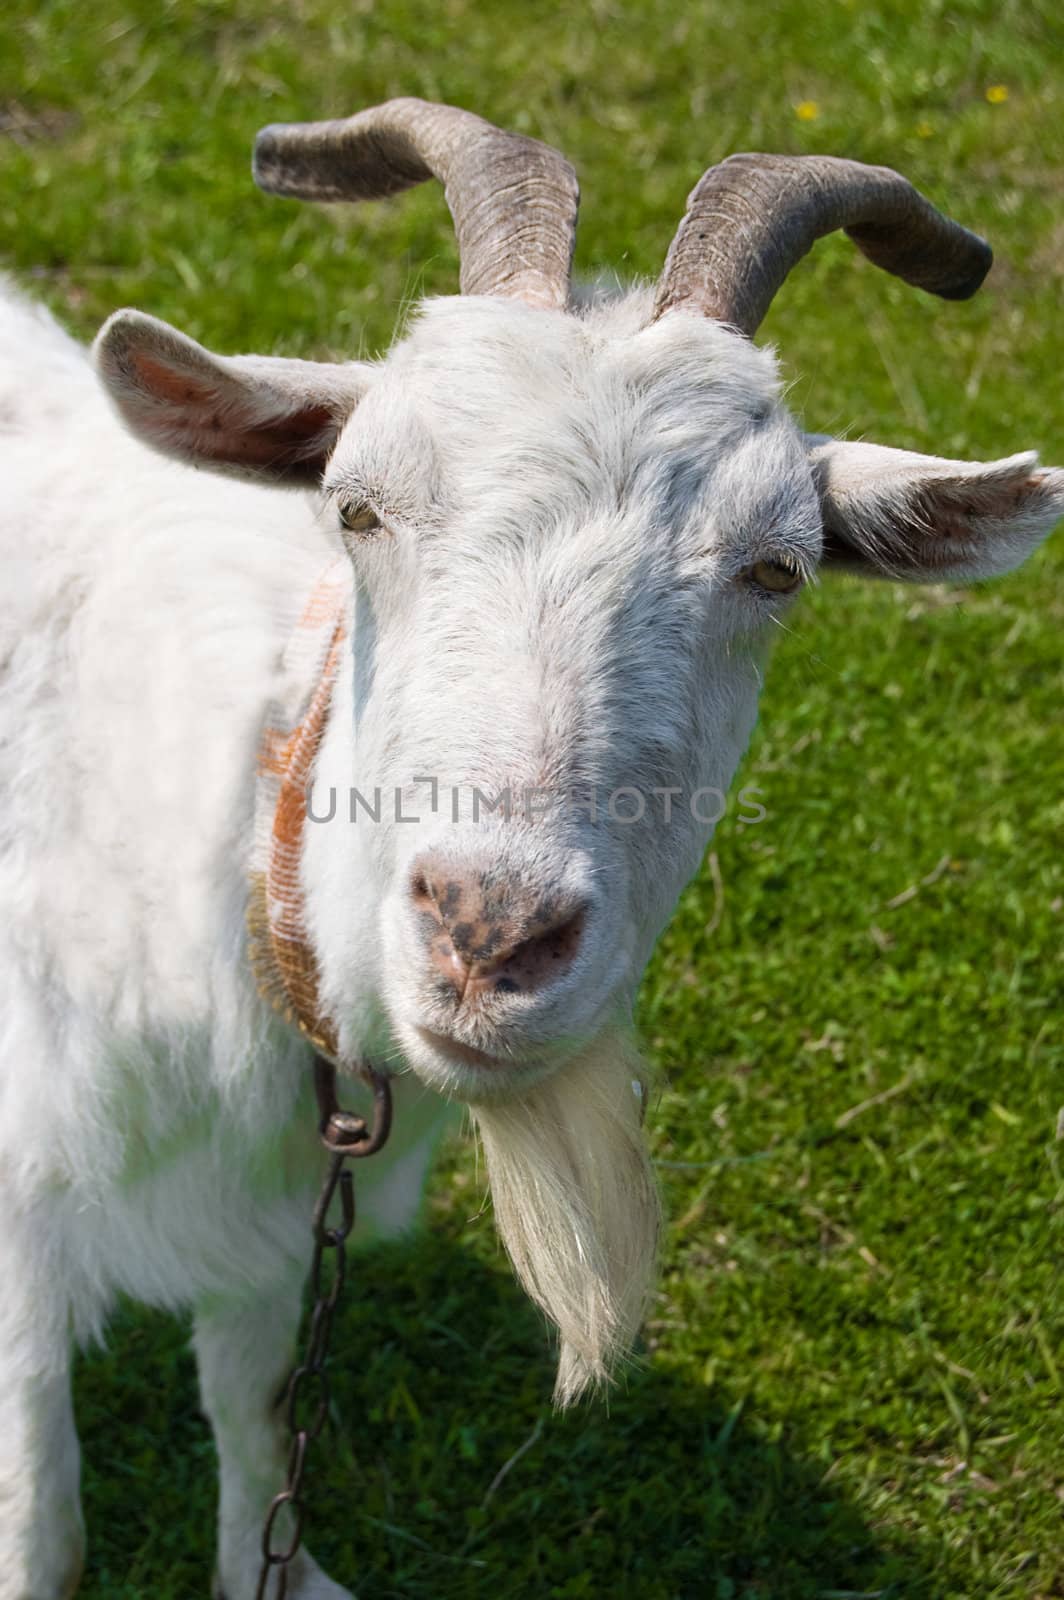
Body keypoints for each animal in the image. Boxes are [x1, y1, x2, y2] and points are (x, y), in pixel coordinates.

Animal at [2, 100, 1062, 1600]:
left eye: (778, 567)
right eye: (355, 504)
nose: (489, 933)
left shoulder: (267, 1221)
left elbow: (253, 1407)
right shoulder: (26, 1192)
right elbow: (45, 1516)